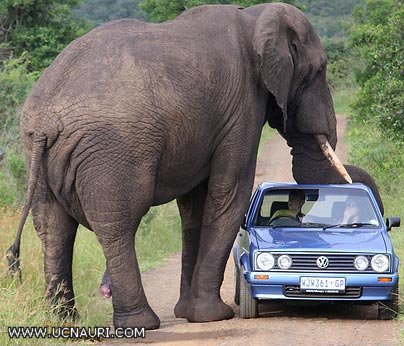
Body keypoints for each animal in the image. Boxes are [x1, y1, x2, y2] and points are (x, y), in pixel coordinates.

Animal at [7, 3, 384, 330]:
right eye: (318, 71)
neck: (255, 16)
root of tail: (46, 121)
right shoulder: (242, 107)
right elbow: (230, 191)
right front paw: (212, 317)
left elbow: (194, 206)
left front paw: (188, 313)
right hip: (112, 152)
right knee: (118, 224)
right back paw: (141, 323)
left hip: (37, 154)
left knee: (54, 227)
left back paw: (63, 321)